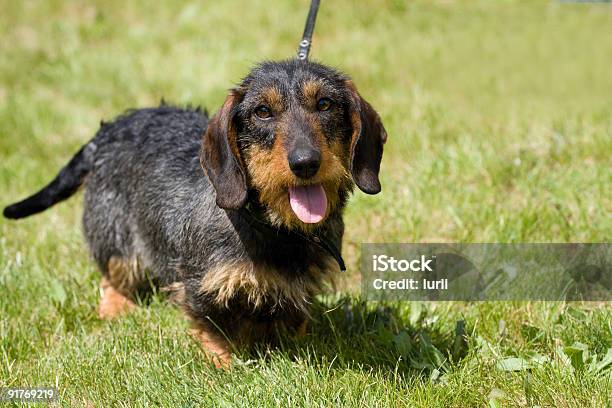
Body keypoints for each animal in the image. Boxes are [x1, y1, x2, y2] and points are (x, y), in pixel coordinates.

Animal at [3, 59, 388, 366]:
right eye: (263, 111)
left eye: (324, 103)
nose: (305, 162)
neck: (273, 228)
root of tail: (108, 130)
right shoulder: (200, 284)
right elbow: (213, 328)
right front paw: (224, 366)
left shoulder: (299, 287)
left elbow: (293, 320)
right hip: (115, 235)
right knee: (112, 275)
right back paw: (116, 308)